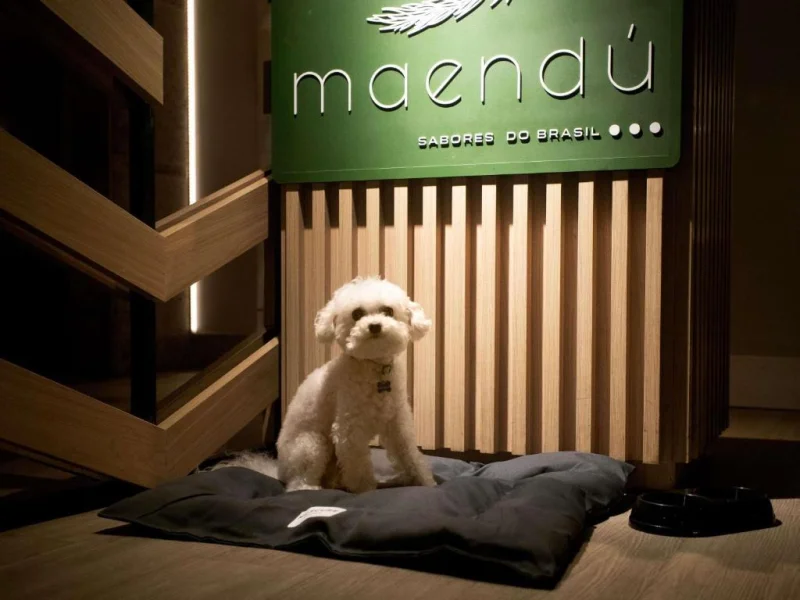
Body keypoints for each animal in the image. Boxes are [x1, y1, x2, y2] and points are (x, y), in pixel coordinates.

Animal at [212, 276, 436, 494]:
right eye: (357, 314)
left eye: (388, 311)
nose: (374, 326)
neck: (373, 368)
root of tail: (278, 471)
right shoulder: (349, 430)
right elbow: (359, 468)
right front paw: (366, 490)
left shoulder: (398, 424)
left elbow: (410, 455)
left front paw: (426, 482)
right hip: (312, 445)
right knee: (297, 485)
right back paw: (310, 487)